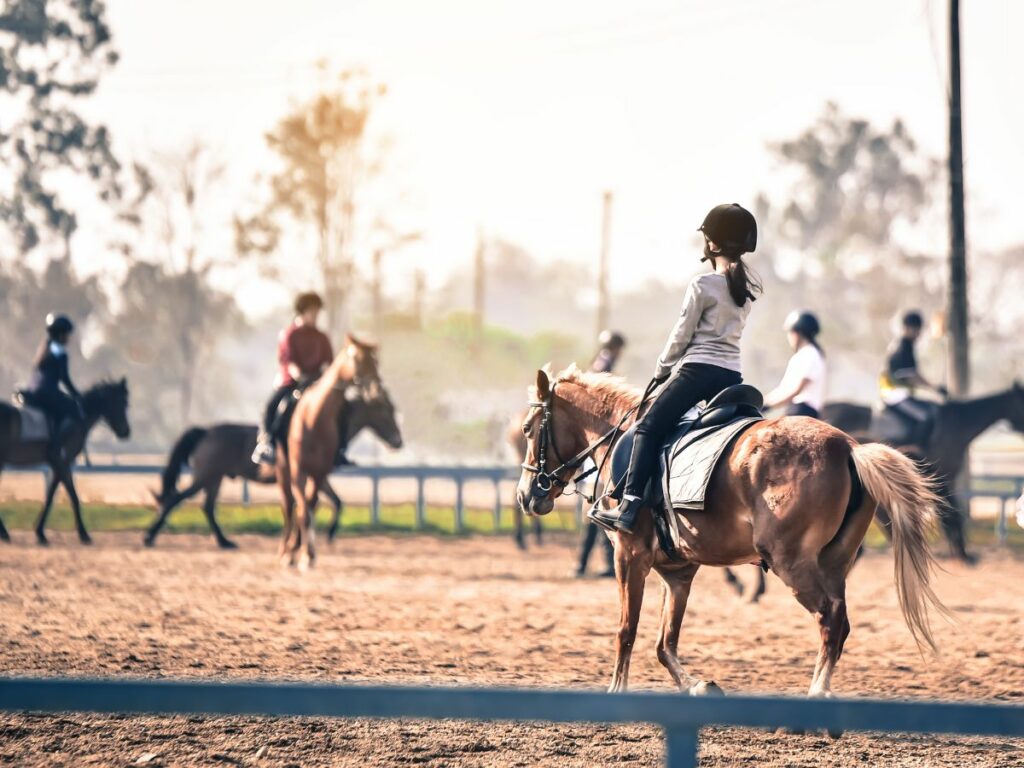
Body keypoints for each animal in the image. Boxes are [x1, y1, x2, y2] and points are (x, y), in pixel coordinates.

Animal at [0, 380, 132, 548]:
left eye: (126, 403)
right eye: (121, 403)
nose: (126, 432)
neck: (79, 417)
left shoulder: (59, 465)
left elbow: (50, 497)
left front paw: (40, 533)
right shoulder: (63, 462)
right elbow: (74, 497)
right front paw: (84, 535)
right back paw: (4, 534)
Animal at [144, 387, 399, 548]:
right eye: (384, 412)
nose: (398, 441)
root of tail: (206, 431)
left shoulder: (318, 478)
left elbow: (335, 502)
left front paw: (323, 534)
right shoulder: (313, 477)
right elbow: (320, 503)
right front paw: (314, 536)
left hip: (214, 478)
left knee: (207, 507)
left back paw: (225, 542)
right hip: (205, 476)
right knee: (176, 499)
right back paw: (150, 536)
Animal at [276, 335, 380, 573]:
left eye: (376, 361)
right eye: (358, 360)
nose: (375, 389)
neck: (314, 419)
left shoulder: (319, 473)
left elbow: (310, 508)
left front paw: (307, 553)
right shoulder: (298, 471)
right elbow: (302, 512)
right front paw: (299, 554)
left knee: (304, 506)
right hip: (283, 471)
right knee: (288, 507)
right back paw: (285, 551)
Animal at [516, 370, 946, 700]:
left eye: (528, 429)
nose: (525, 495)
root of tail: (848, 446)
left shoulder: (630, 556)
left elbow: (627, 630)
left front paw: (616, 692)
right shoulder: (678, 573)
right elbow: (664, 643)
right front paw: (698, 685)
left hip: (791, 563)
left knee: (831, 620)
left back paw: (817, 693)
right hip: (834, 563)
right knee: (840, 623)